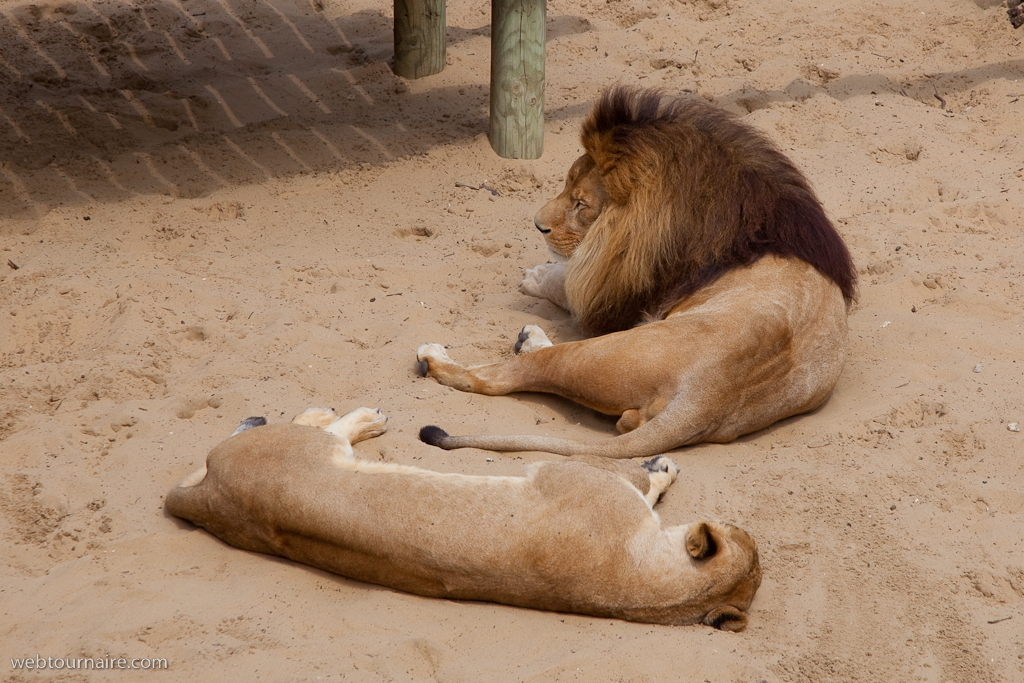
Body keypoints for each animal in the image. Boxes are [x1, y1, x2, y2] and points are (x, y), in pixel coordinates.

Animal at [165, 406, 761, 629]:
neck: (653, 588)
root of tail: (212, 499)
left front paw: (661, 468)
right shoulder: (572, 472)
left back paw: (358, 417)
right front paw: (663, 465)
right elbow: (639, 477)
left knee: (303, 427)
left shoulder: (576, 478)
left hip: (293, 453)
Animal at [416, 86, 856, 458]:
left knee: (499, 377)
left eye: (580, 203)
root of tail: (709, 394)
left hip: (603, 351)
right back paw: (530, 339)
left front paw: (538, 276)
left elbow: (572, 283)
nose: (538, 225)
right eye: (565, 187)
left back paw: (436, 357)